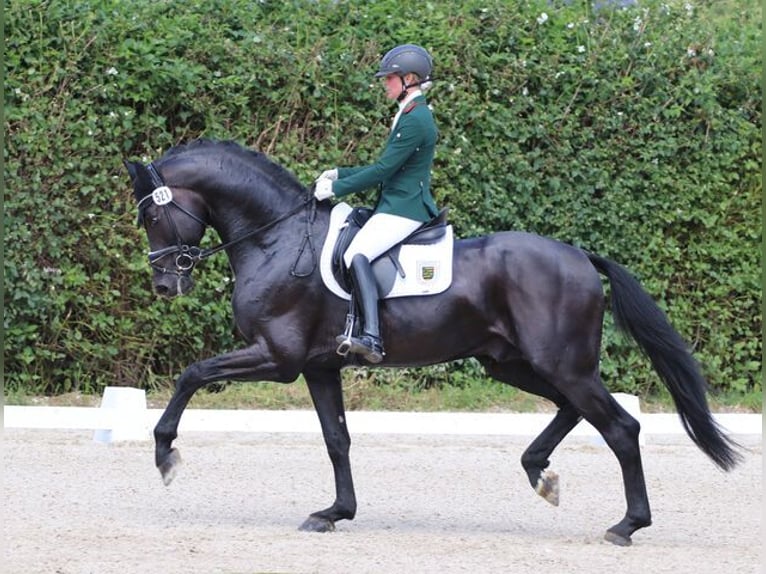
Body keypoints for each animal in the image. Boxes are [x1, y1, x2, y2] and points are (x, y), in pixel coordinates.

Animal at [125, 138, 741, 546]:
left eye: (153, 214)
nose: (164, 284)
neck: (278, 238)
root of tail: (580, 257)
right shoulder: (319, 367)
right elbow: (337, 440)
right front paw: (335, 512)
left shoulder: (278, 358)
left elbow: (192, 375)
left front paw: (164, 454)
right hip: (513, 363)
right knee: (574, 410)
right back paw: (541, 473)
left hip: (561, 364)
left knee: (620, 427)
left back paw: (626, 525)